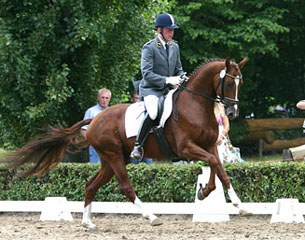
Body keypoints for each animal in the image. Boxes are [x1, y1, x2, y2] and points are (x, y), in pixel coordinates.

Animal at [2, 57, 247, 229]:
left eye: (240, 83)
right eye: (228, 83)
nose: (232, 112)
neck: (196, 105)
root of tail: (95, 120)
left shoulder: (210, 146)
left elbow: (218, 168)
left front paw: (223, 198)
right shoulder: (186, 148)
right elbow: (213, 163)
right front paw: (213, 194)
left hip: (111, 161)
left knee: (91, 185)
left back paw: (88, 223)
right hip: (114, 157)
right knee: (126, 187)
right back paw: (151, 217)